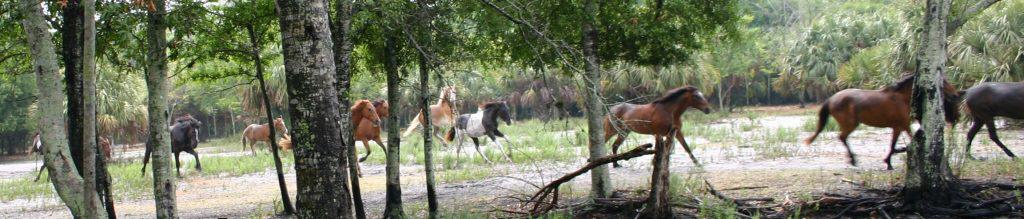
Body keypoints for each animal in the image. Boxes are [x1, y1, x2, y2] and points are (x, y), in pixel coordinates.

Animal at [806, 74, 958, 169]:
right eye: (943, 81)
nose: (955, 94)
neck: (902, 98)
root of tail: (831, 99)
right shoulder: (904, 125)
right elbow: (909, 141)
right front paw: (895, 155)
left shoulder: (897, 127)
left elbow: (892, 145)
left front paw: (889, 162)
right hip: (850, 124)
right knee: (842, 137)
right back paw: (853, 160)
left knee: (842, 138)